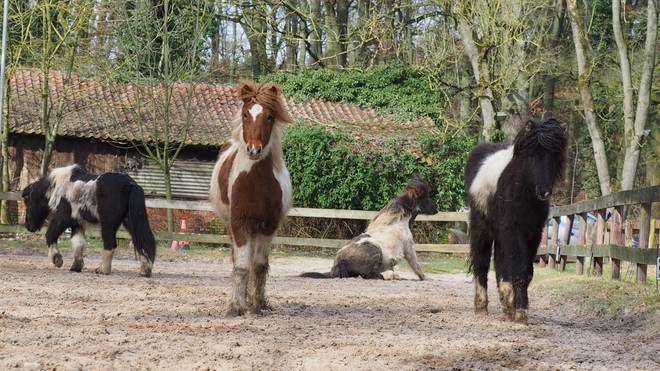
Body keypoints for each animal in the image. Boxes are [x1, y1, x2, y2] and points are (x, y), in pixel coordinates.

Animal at [22, 164, 157, 278]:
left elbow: (50, 236)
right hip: (131, 222)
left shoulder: (61, 220)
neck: (59, 186)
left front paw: (57, 259)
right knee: (142, 243)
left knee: (110, 244)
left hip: (108, 224)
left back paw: (103, 269)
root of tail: (131, 184)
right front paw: (76, 266)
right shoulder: (77, 224)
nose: (28, 225)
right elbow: (79, 244)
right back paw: (145, 271)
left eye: (27, 201)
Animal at [210, 79, 292, 316]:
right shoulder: (239, 223)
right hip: (231, 226)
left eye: (270, 116)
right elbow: (241, 266)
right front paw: (237, 306)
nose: (254, 150)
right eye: (245, 114)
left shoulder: (269, 226)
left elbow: (259, 266)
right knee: (236, 259)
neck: (256, 183)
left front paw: (258, 305)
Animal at [302, 176, 438, 280]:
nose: (437, 206)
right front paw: (426, 278)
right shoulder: (409, 249)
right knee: (373, 276)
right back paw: (392, 276)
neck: (399, 221)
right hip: (376, 252)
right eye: (426, 196)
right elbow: (417, 267)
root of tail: (339, 261)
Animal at [464, 117, 568, 324]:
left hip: (501, 233)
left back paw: (506, 303)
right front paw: (520, 312)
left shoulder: (533, 234)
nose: (543, 191)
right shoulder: (514, 230)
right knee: (482, 263)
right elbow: (518, 270)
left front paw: (515, 307)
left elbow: (525, 272)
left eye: (555, 154)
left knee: (500, 263)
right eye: (531, 154)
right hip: (482, 228)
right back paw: (481, 306)